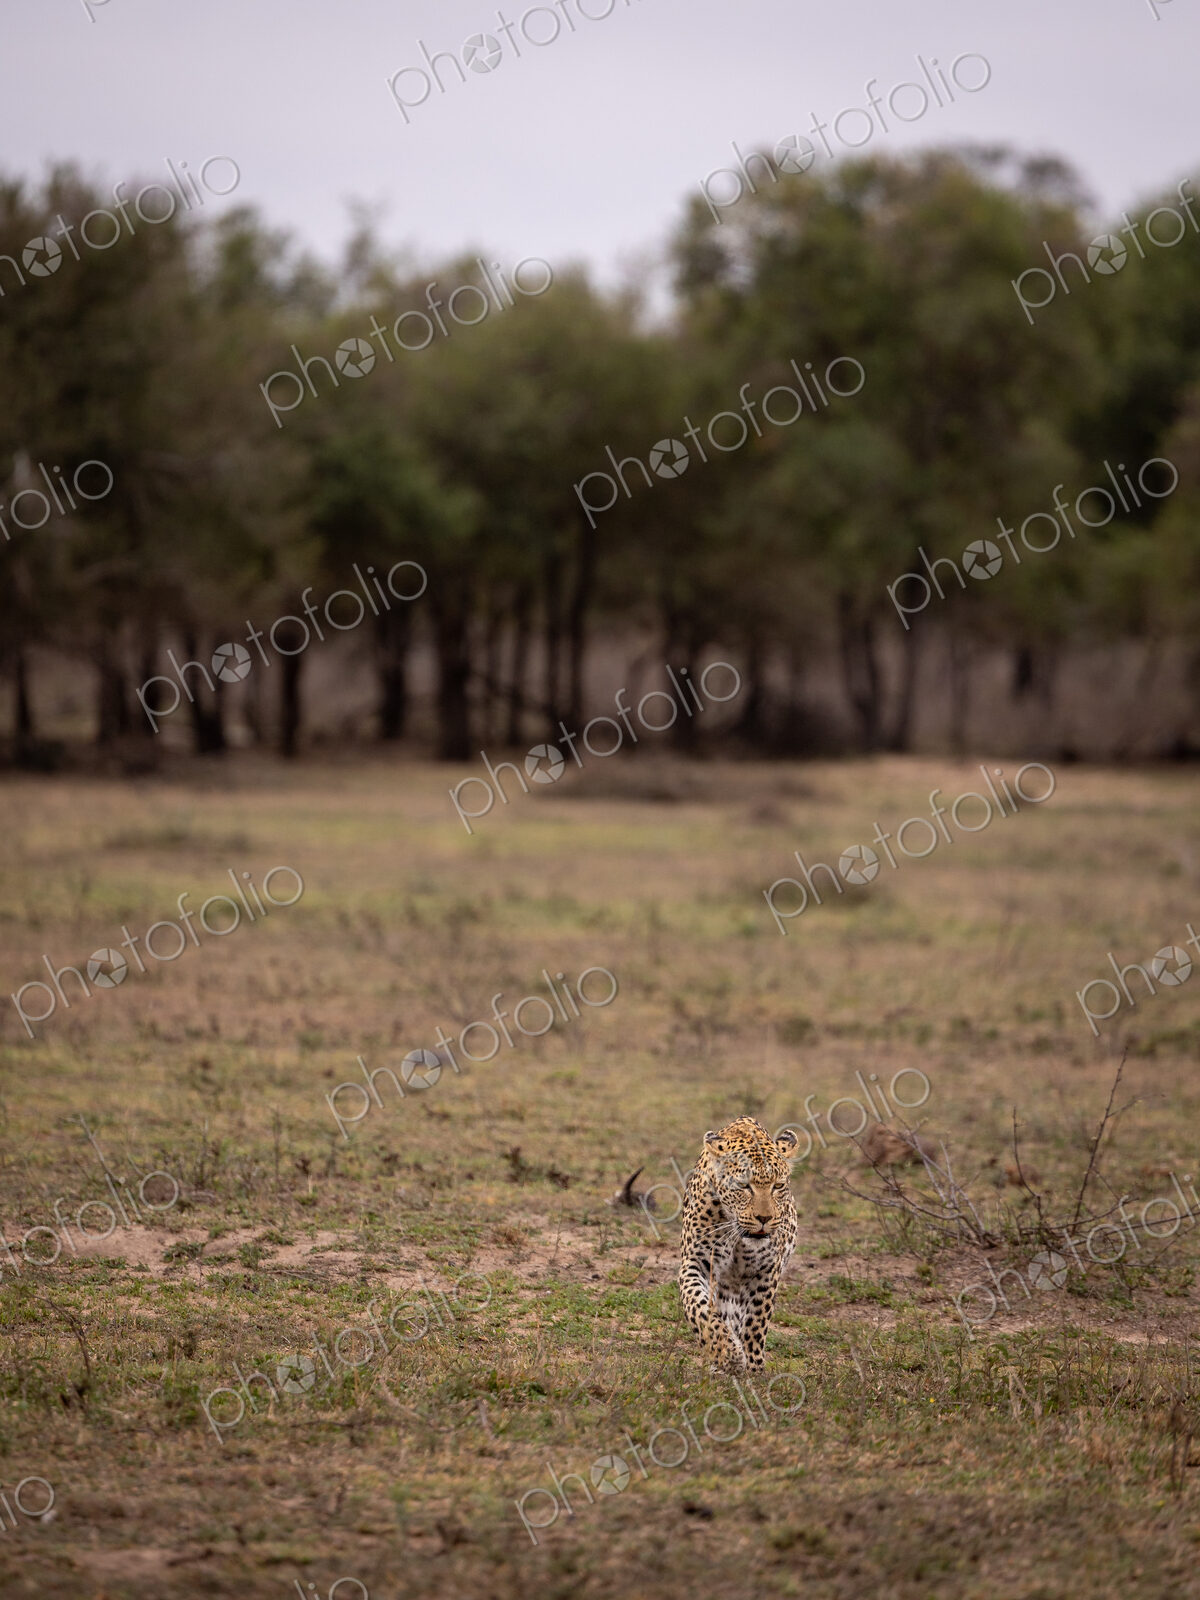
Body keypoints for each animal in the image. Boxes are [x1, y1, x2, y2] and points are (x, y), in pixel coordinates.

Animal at [677, 1116, 800, 1374]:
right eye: (744, 1186)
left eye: (778, 1186)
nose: (764, 1218)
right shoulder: (696, 1263)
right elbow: (700, 1309)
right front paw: (727, 1352)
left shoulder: (766, 1271)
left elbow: (755, 1323)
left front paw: (753, 1368)